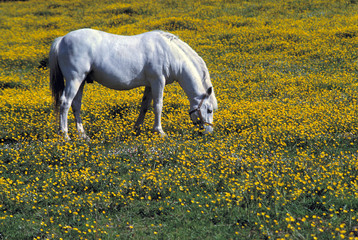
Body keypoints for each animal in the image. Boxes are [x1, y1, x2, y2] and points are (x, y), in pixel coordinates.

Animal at [49, 28, 217, 140]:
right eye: (209, 110)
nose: (209, 133)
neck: (169, 52)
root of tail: (62, 39)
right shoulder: (158, 81)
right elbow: (158, 106)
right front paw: (160, 132)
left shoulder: (150, 84)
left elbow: (145, 106)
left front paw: (137, 129)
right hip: (74, 79)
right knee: (65, 103)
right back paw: (65, 135)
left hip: (82, 81)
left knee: (76, 104)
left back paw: (83, 135)